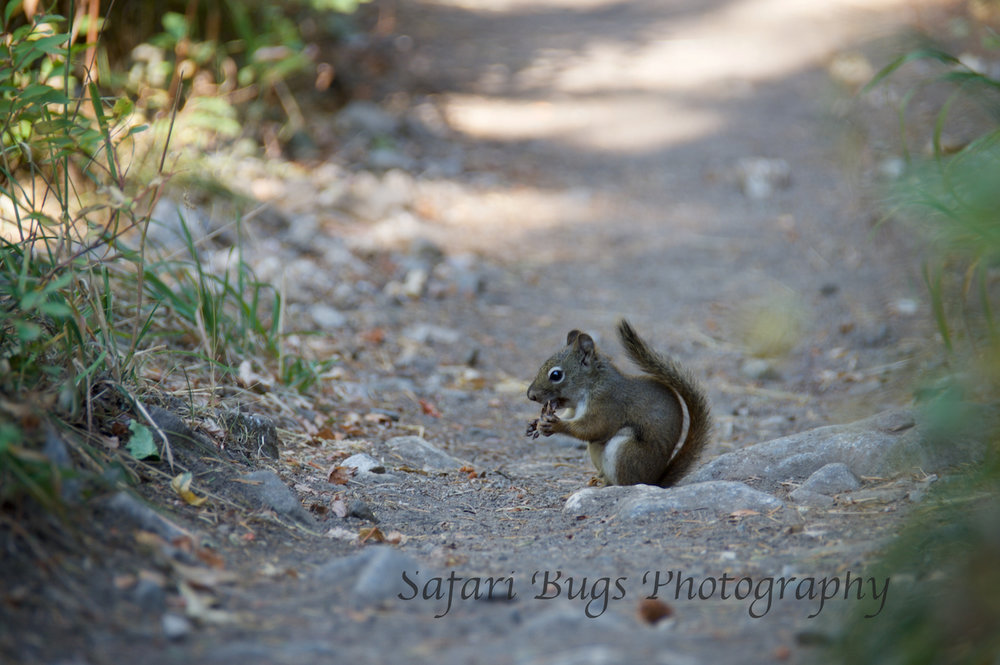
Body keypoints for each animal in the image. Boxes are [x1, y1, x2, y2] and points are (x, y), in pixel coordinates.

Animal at [524, 320, 712, 486]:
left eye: (556, 375)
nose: (530, 395)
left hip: (625, 452)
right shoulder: (573, 409)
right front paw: (535, 423)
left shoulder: (608, 404)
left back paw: (604, 484)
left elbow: (593, 428)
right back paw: (597, 480)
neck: (592, 384)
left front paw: (555, 425)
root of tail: (654, 481)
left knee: (624, 482)